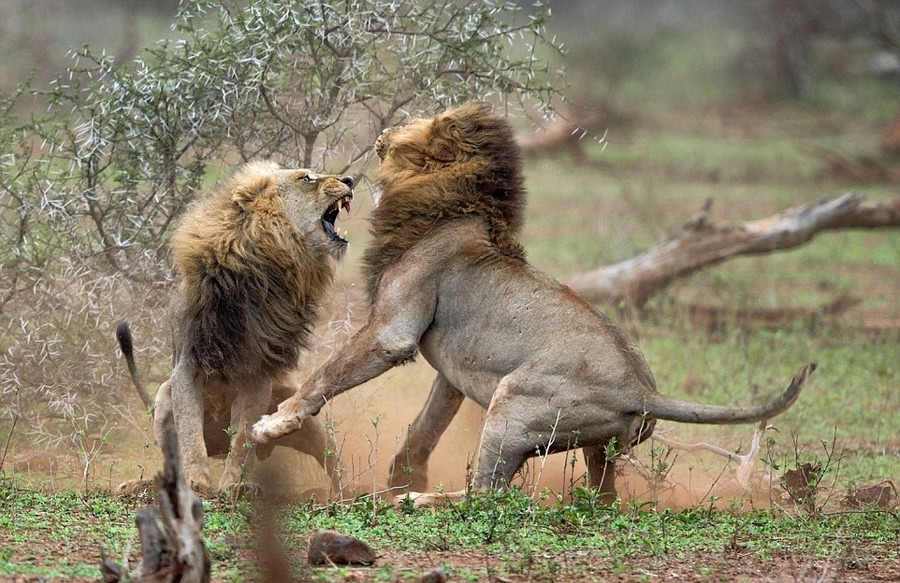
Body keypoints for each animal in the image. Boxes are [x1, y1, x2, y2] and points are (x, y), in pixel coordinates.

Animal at [118, 161, 356, 498]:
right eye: (306, 178)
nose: (350, 179)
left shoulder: (260, 373)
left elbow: (243, 436)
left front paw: (235, 484)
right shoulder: (186, 367)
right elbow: (190, 434)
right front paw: (197, 482)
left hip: (303, 413)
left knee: (331, 459)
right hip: (164, 396)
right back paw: (138, 484)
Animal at [251, 104, 816, 502]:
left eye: (416, 122)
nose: (385, 130)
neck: (448, 207)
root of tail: (642, 389)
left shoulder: (394, 330)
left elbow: (323, 376)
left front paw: (272, 424)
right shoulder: (450, 367)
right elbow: (427, 426)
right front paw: (400, 476)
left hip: (513, 402)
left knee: (486, 497)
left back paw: (420, 502)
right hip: (598, 448)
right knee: (600, 500)